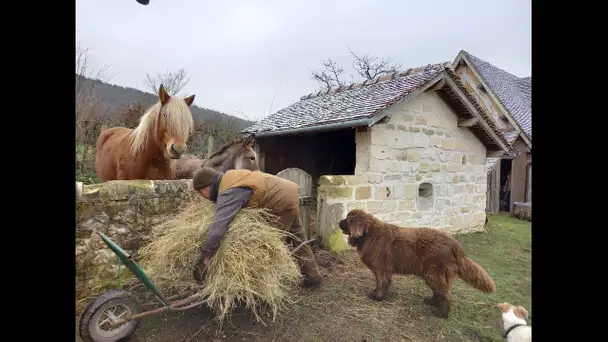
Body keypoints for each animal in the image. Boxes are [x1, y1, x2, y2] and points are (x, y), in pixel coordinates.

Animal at [340, 208, 496, 318]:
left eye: (347, 219)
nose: (338, 222)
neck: (368, 234)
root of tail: (455, 245)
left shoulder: (381, 268)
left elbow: (381, 283)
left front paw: (377, 297)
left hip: (433, 273)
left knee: (445, 294)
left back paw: (441, 314)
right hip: (432, 274)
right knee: (439, 292)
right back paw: (432, 302)